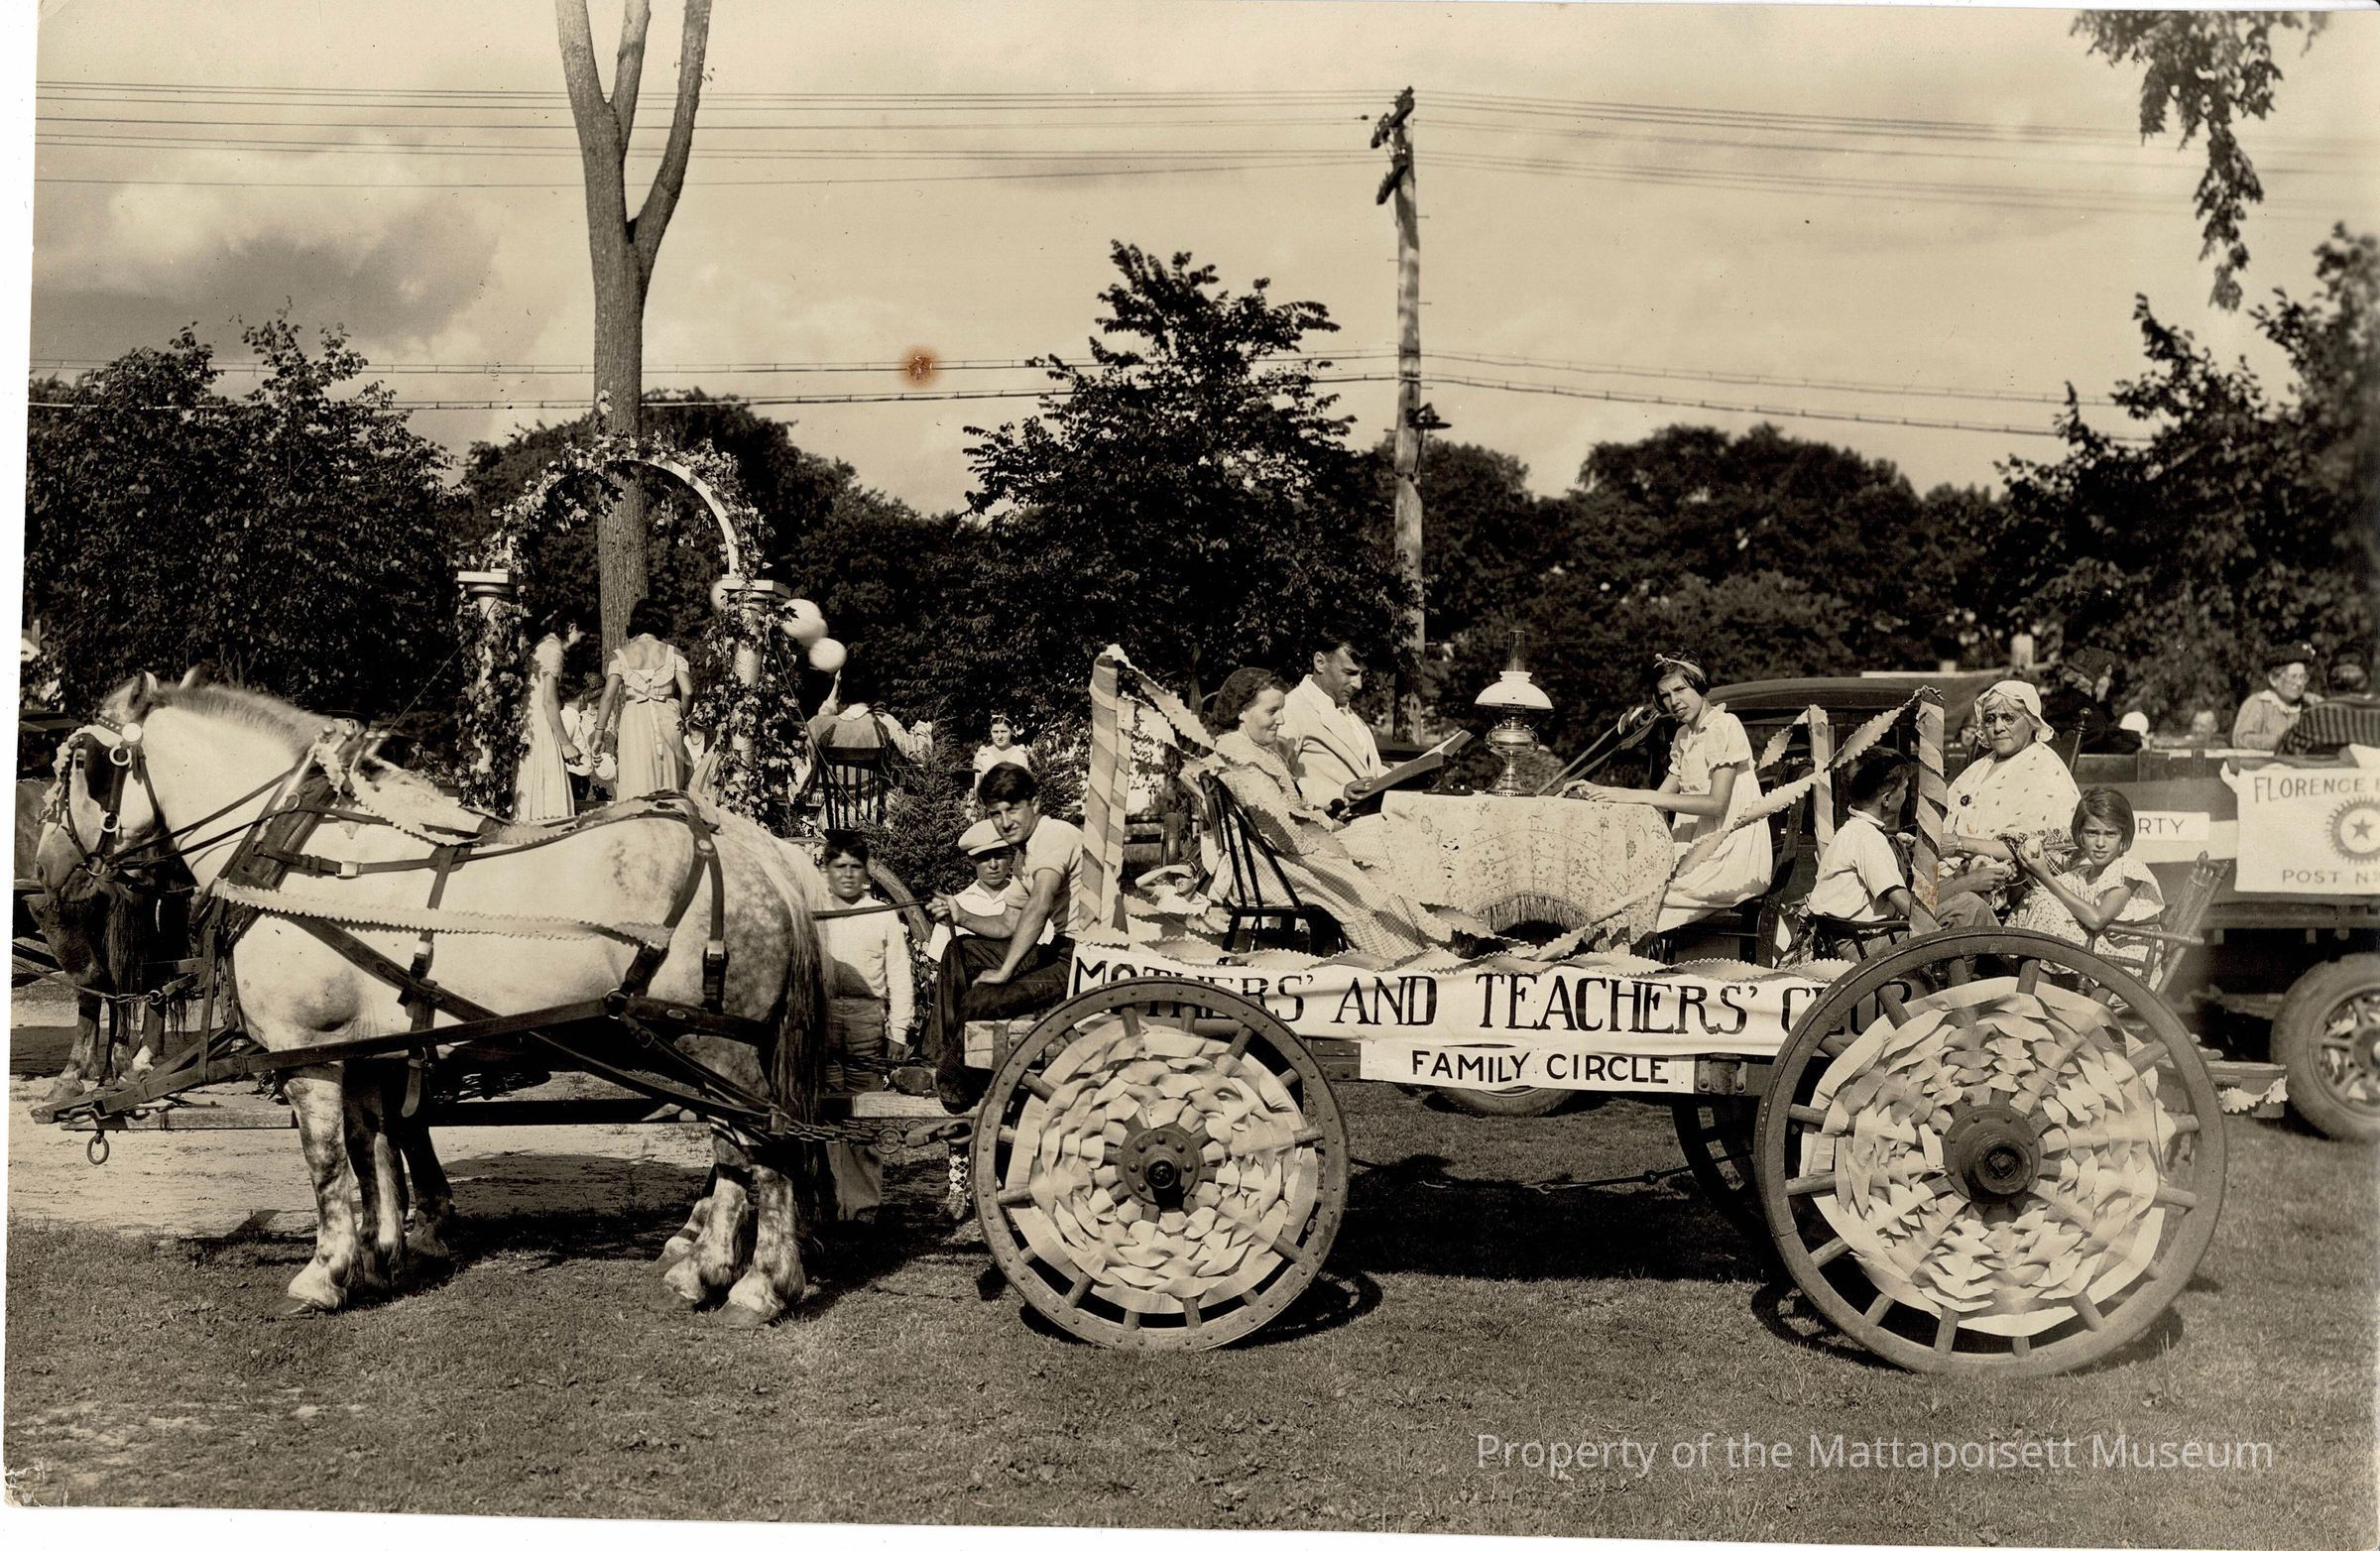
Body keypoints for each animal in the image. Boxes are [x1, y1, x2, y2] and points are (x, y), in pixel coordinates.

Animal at [63, 673, 831, 1326]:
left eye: (85, 765)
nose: (57, 869)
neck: (300, 858)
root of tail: (763, 857)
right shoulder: (368, 1050)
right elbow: (373, 1149)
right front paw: (380, 1255)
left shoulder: (310, 1051)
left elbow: (326, 1161)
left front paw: (324, 1272)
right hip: (692, 1047)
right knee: (736, 1150)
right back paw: (705, 1270)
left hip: (715, 1043)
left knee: (761, 1147)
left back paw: (757, 1285)